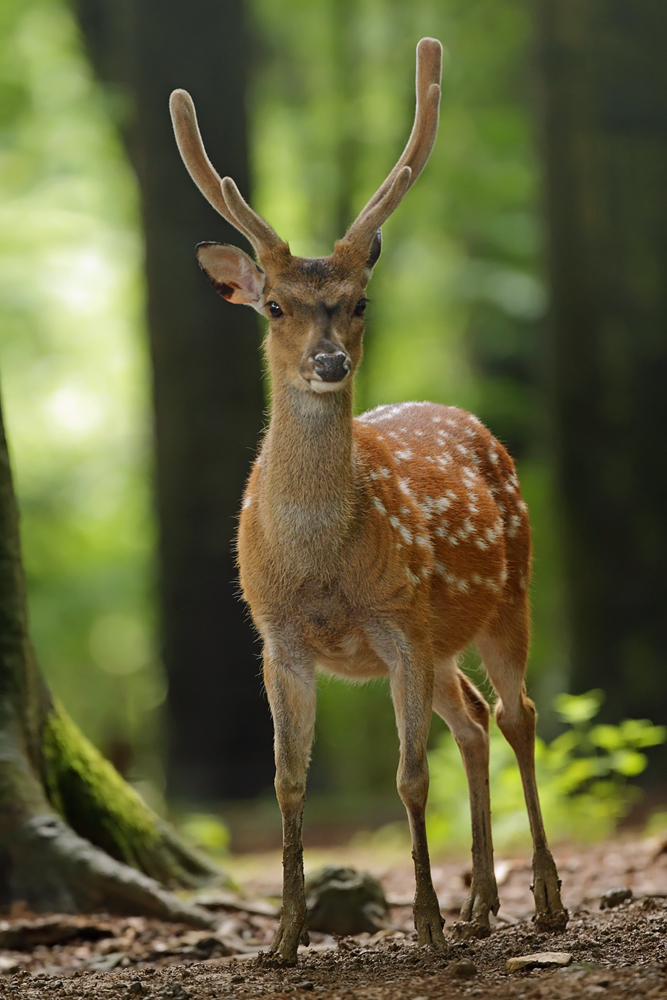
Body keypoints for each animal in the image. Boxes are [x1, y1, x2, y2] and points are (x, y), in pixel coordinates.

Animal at [168, 37, 568, 960]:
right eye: (273, 305)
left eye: (358, 302)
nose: (328, 363)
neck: (322, 566)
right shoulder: (276, 636)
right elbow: (287, 781)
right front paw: (283, 938)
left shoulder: (396, 621)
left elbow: (408, 777)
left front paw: (422, 924)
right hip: (443, 636)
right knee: (472, 719)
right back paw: (481, 904)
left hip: (507, 593)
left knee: (517, 714)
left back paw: (541, 901)